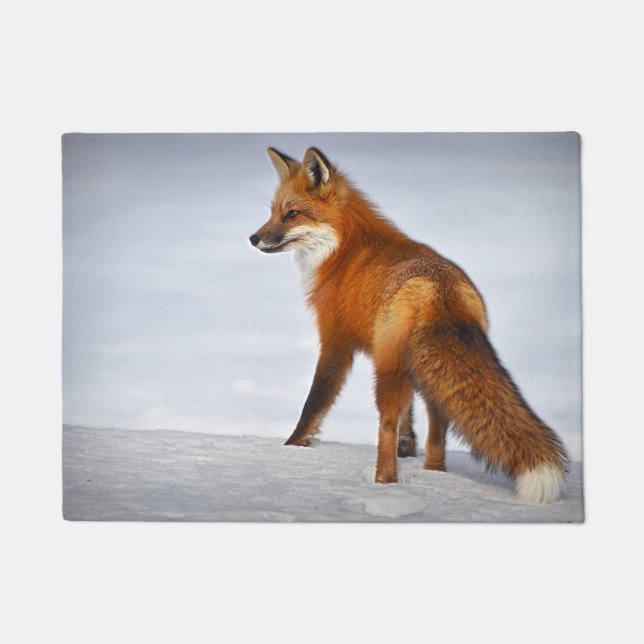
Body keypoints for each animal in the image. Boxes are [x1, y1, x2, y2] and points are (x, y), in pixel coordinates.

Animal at [249, 146, 567, 504]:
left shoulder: (335, 341)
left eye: (292, 214)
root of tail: (440, 289)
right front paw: (408, 448)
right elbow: (409, 420)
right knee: (438, 431)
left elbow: (314, 404)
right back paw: (433, 475)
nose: (253, 238)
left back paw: (383, 484)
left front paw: (292, 447)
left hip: (388, 371)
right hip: (424, 371)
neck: (343, 250)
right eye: (273, 212)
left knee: (385, 427)